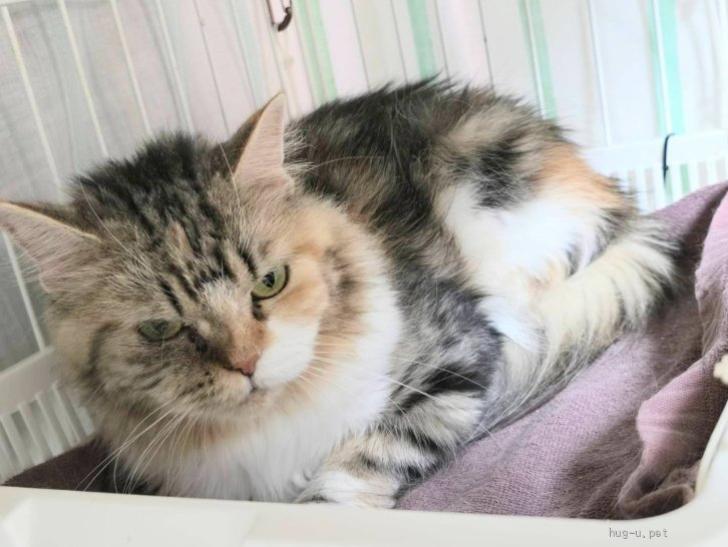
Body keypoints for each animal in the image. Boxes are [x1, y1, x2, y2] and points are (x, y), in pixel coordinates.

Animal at [0, 81, 676, 507]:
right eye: (161, 329)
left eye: (269, 282)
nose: (246, 364)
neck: (274, 425)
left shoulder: (455, 351)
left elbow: (362, 464)